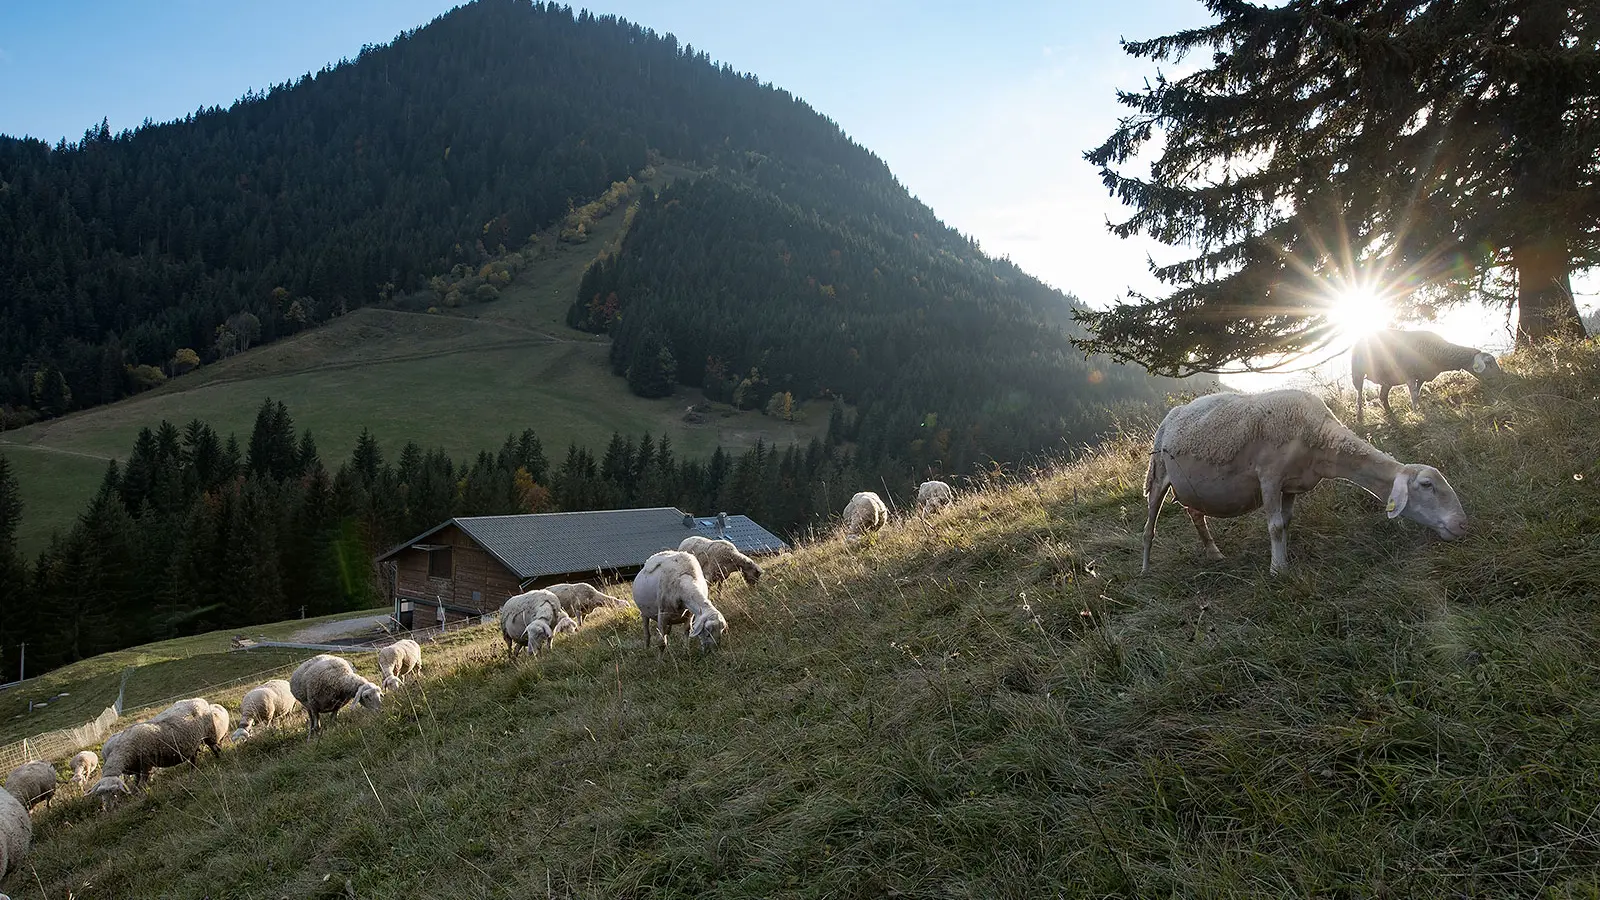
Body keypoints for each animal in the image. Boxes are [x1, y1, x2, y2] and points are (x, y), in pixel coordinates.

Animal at [1145, 384, 1465, 566]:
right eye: (1427, 485)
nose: (1462, 525)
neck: (1319, 437)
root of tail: (1171, 415)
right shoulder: (1269, 477)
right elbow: (1275, 526)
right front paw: (1279, 571)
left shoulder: (1290, 486)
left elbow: (1286, 523)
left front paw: (1284, 558)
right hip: (1158, 473)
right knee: (1150, 526)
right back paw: (1146, 569)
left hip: (1191, 488)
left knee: (1195, 514)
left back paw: (1214, 553)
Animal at [1350, 328, 1497, 422]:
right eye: (1489, 363)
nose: (1499, 379)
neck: (1439, 351)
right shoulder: (1409, 375)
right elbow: (1413, 395)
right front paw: (1417, 413)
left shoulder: (1422, 377)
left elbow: (1417, 394)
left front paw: (1419, 409)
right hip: (1358, 373)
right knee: (1359, 394)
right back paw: (1360, 417)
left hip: (1388, 379)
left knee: (1382, 396)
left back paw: (1390, 413)